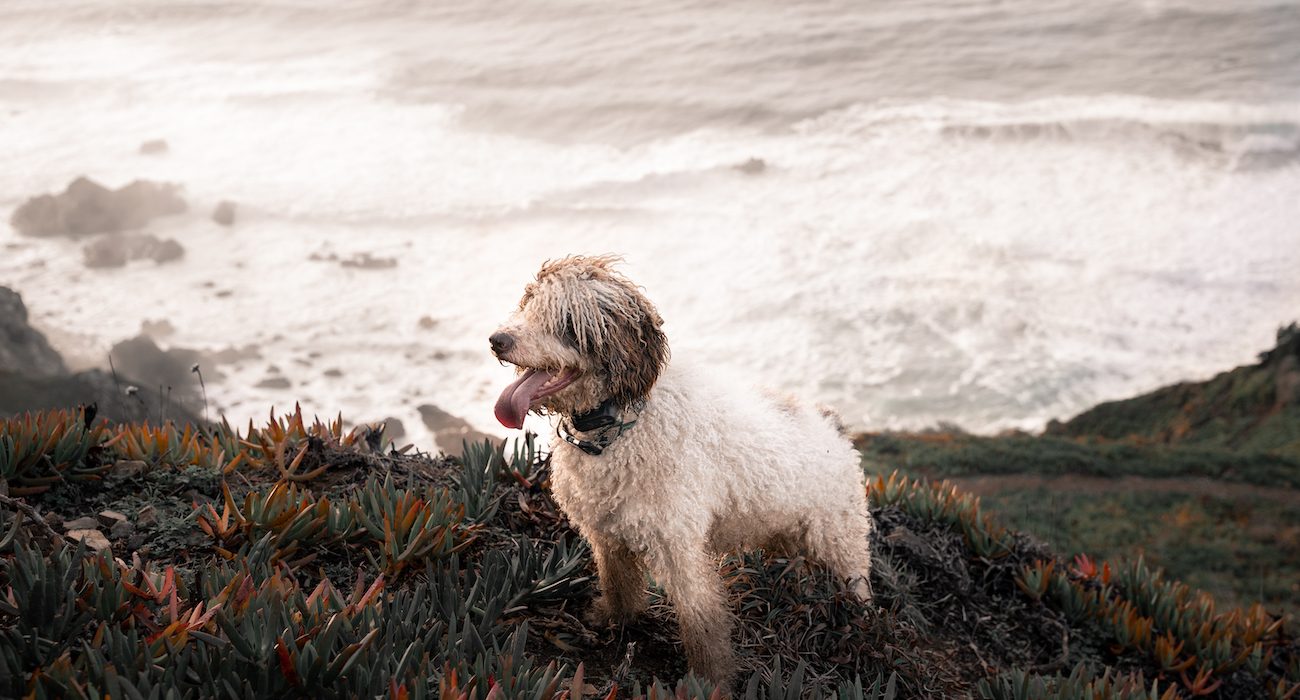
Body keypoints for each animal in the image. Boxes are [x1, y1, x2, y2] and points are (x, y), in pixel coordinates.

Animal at [491, 253, 878, 676]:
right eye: (527, 305)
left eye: (565, 321)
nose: (497, 340)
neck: (622, 426)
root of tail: (832, 425)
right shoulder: (607, 534)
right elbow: (619, 585)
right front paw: (614, 619)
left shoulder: (678, 547)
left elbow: (702, 621)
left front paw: (712, 679)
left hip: (840, 538)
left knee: (857, 582)